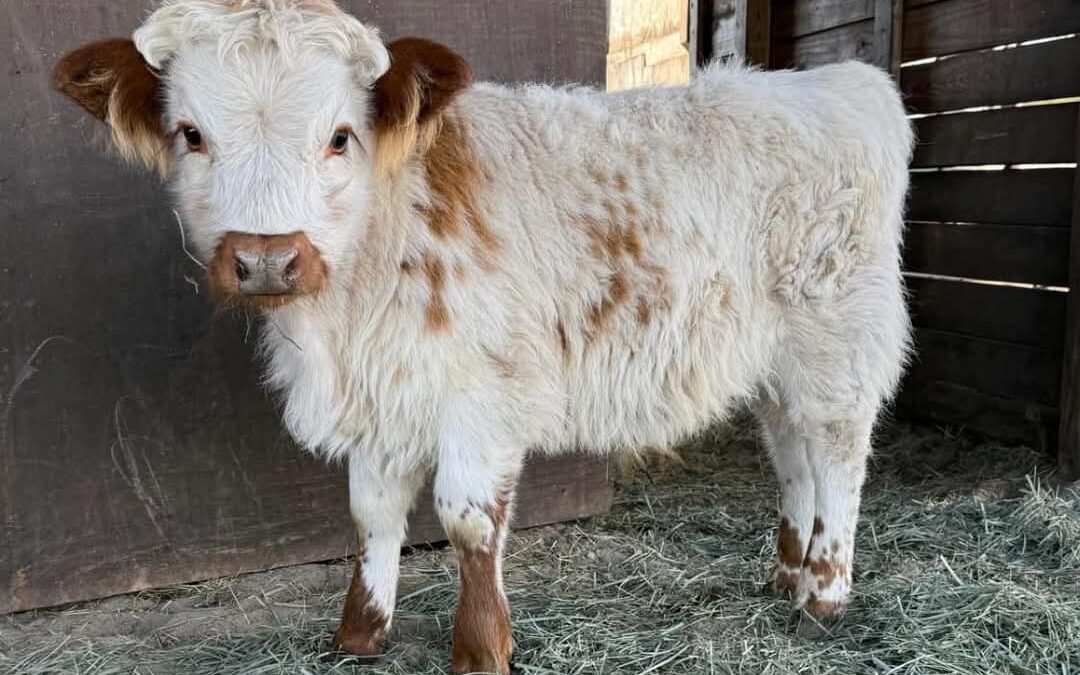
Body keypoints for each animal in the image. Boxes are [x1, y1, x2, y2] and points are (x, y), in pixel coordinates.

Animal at [53, 1, 914, 672]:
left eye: (340, 136)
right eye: (191, 133)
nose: (267, 258)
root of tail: (838, 82)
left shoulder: (483, 395)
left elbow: (467, 518)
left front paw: (480, 648)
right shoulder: (385, 394)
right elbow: (371, 513)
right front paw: (360, 634)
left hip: (839, 337)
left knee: (838, 452)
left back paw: (824, 591)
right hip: (776, 360)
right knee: (791, 451)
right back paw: (787, 572)